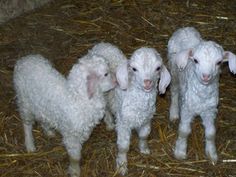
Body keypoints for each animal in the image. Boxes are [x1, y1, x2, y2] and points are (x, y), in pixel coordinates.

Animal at [168, 27, 236, 164]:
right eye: (195, 60)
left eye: (219, 62)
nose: (206, 76)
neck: (202, 94)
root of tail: (185, 28)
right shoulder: (187, 110)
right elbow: (183, 131)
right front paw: (180, 152)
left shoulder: (210, 111)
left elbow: (211, 133)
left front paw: (211, 154)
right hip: (174, 71)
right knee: (174, 91)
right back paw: (173, 113)